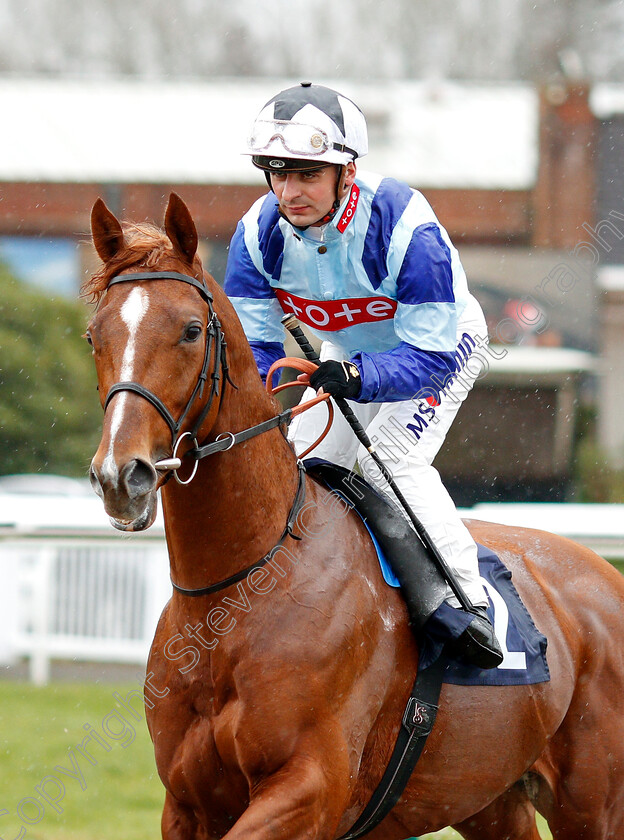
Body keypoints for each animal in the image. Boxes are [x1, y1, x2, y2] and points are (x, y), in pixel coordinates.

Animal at [85, 194, 624, 836]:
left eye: (191, 331)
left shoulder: (310, 787)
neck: (240, 590)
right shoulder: (187, 804)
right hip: (490, 797)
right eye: (93, 335)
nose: (122, 476)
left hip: (592, 801)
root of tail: (605, 575)